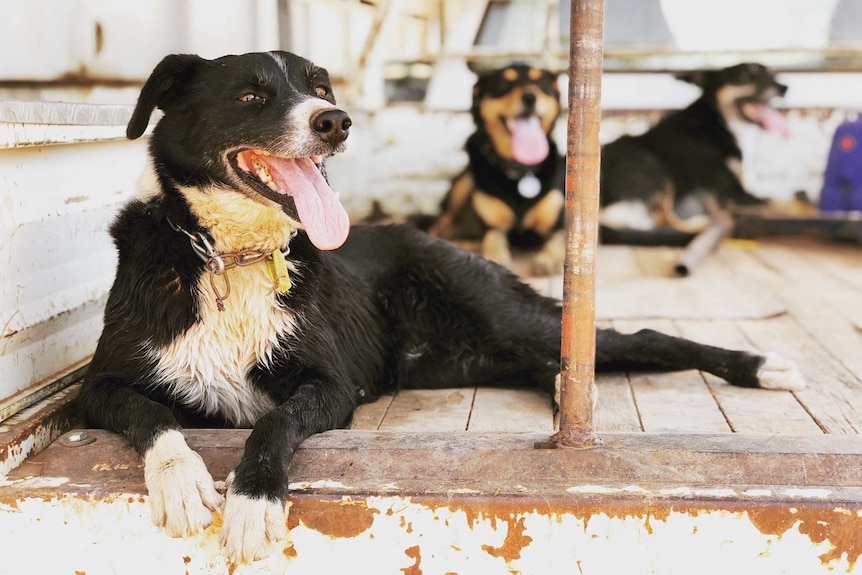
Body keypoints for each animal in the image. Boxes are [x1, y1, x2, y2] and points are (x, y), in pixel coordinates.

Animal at [430, 64, 568, 276]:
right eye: (504, 83)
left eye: (541, 83)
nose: (530, 97)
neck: (520, 169)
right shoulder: (493, 228)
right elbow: (493, 242)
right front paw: (495, 256)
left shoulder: (560, 226)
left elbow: (557, 240)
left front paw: (548, 258)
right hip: (462, 186)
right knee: (440, 223)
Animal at [604, 63, 792, 245]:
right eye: (745, 76)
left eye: (771, 74)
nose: (784, 87)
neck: (719, 123)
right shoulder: (730, 195)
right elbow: (777, 203)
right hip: (654, 169)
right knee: (665, 221)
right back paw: (705, 224)